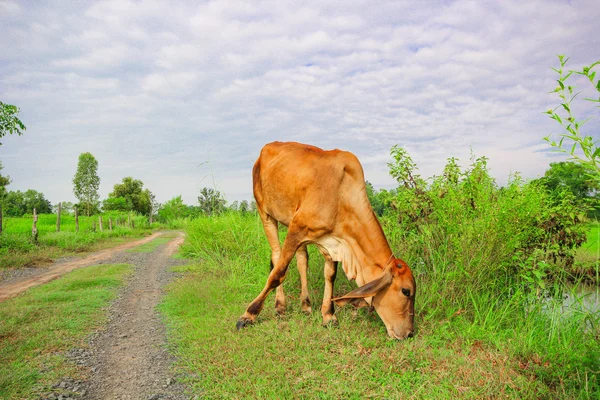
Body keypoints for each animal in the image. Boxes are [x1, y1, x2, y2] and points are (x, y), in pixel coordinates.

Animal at [237, 142, 414, 340]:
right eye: (406, 291)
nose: (409, 333)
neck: (342, 194)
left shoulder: (331, 241)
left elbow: (330, 275)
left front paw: (328, 315)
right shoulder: (296, 230)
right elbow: (277, 274)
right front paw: (248, 315)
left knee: (302, 260)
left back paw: (305, 305)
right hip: (265, 213)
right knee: (276, 256)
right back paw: (280, 306)